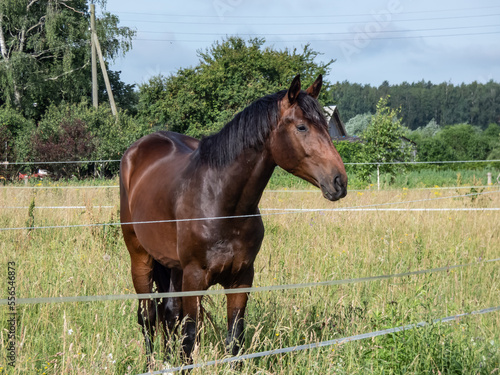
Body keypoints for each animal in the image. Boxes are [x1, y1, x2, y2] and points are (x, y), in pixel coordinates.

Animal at [120, 73, 348, 364]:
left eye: (327, 128)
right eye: (301, 127)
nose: (339, 181)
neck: (223, 203)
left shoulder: (242, 279)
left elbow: (234, 341)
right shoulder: (194, 278)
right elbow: (189, 339)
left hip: (173, 266)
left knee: (169, 314)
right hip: (140, 257)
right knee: (148, 316)